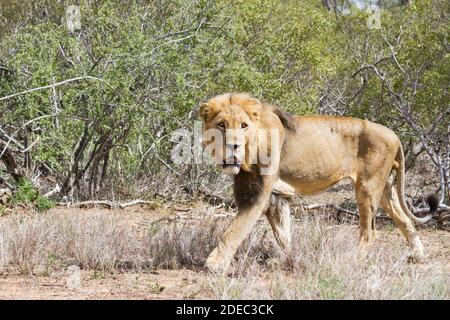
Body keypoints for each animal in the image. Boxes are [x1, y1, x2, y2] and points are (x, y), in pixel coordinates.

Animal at [199, 92, 438, 272]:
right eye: (221, 125)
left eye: (243, 125)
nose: (233, 146)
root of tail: (394, 134)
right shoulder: (276, 197)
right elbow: (283, 234)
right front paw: (285, 259)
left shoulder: (258, 194)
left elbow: (235, 229)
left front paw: (215, 264)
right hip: (384, 188)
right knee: (404, 220)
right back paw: (418, 255)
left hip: (367, 187)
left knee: (369, 232)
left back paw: (352, 259)